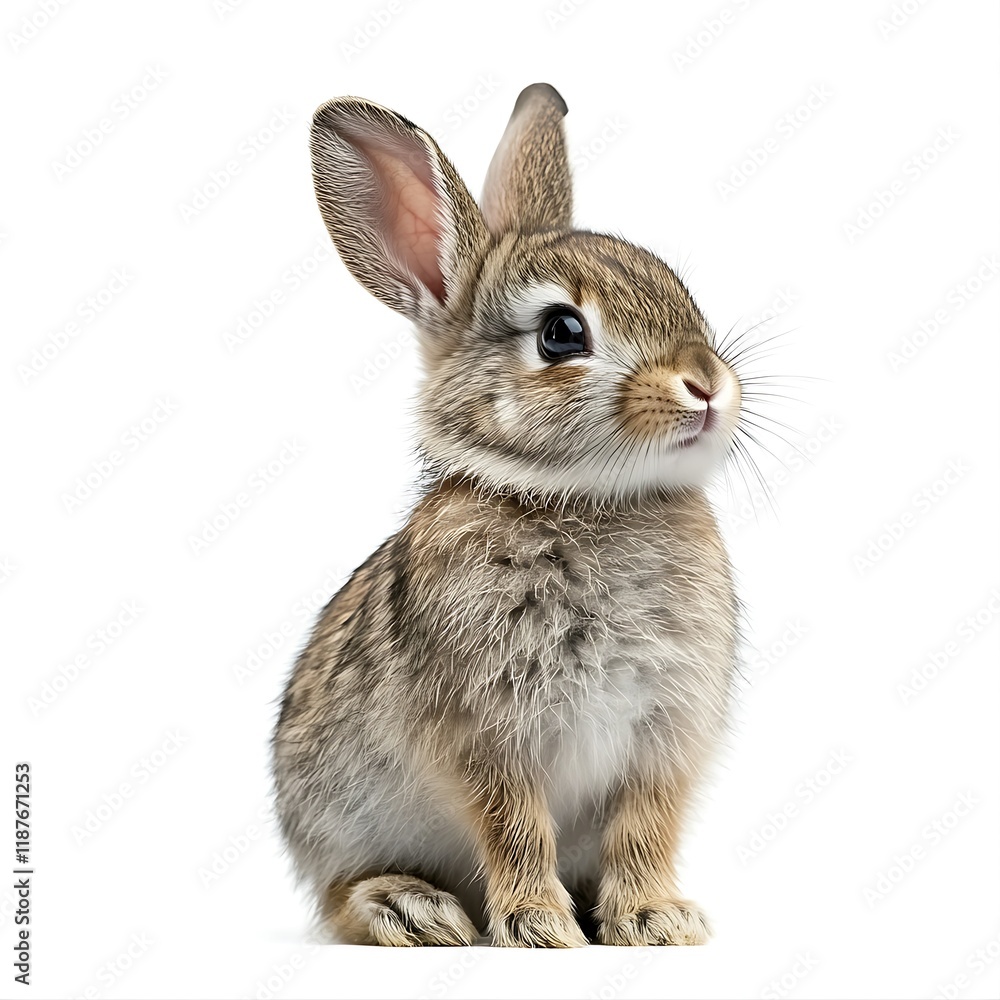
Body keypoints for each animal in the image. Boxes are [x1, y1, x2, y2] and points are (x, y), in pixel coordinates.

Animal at [272, 82, 743, 948]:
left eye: (680, 291)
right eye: (562, 333)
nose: (706, 384)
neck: (586, 500)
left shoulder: (662, 738)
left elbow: (645, 827)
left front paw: (656, 919)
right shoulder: (489, 732)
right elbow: (515, 825)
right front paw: (539, 927)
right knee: (339, 894)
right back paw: (411, 908)